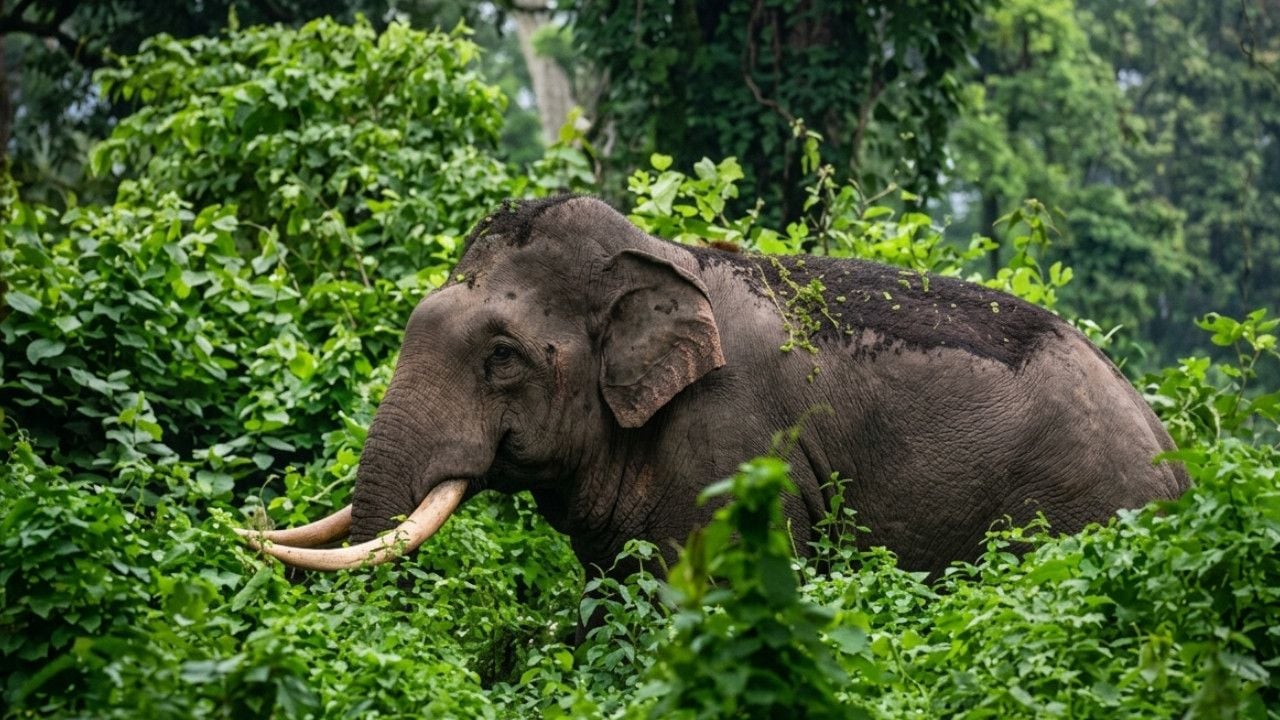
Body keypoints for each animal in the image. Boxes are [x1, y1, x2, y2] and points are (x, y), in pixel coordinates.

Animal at [238, 195, 1188, 601]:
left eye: (502, 359)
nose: (243, 522)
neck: (660, 254)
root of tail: (1175, 457)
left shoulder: (731, 451)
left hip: (1073, 512)